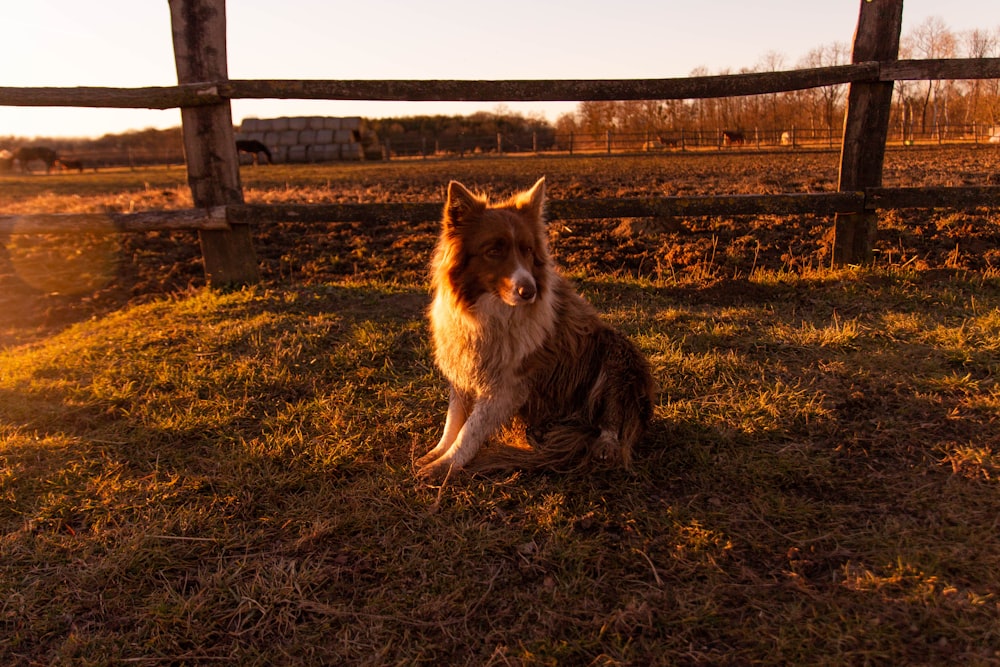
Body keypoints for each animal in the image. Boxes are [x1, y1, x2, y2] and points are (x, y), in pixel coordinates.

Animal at [416, 177, 656, 480]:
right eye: (494, 250)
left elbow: (470, 430)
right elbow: (454, 419)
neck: (489, 313)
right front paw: (437, 452)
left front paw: (446, 465)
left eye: (528, 250)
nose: (529, 291)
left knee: (614, 417)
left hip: (617, 351)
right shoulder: (464, 365)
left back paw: (605, 445)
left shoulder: (508, 384)